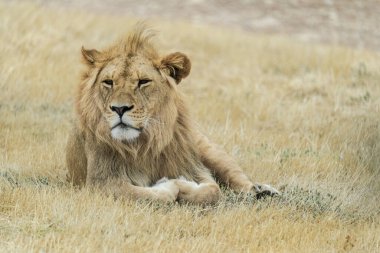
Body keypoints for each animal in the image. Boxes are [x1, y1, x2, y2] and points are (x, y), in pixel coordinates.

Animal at [64, 24, 280, 206]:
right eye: (109, 82)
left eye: (143, 81)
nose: (119, 109)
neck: (143, 144)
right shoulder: (100, 182)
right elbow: (143, 194)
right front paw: (168, 185)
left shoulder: (195, 168)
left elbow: (212, 190)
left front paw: (181, 183)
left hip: (209, 149)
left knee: (237, 177)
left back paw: (262, 190)